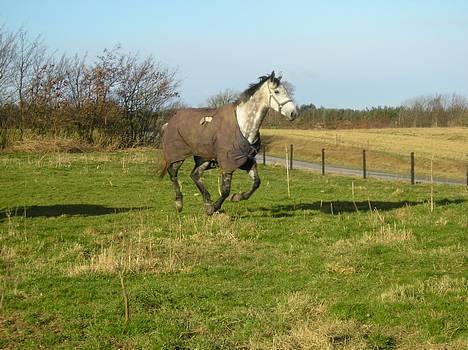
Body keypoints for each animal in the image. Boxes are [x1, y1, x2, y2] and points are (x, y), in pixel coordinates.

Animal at [159, 71, 298, 213]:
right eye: (276, 91)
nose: (294, 113)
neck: (243, 125)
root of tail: (169, 122)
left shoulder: (246, 160)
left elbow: (256, 182)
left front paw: (237, 197)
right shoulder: (228, 162)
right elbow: (225, 190)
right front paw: (214, 207)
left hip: (204, 158)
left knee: (195, 175)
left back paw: (207, 202)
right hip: (178, 155)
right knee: (173, 173)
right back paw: (179, 203)